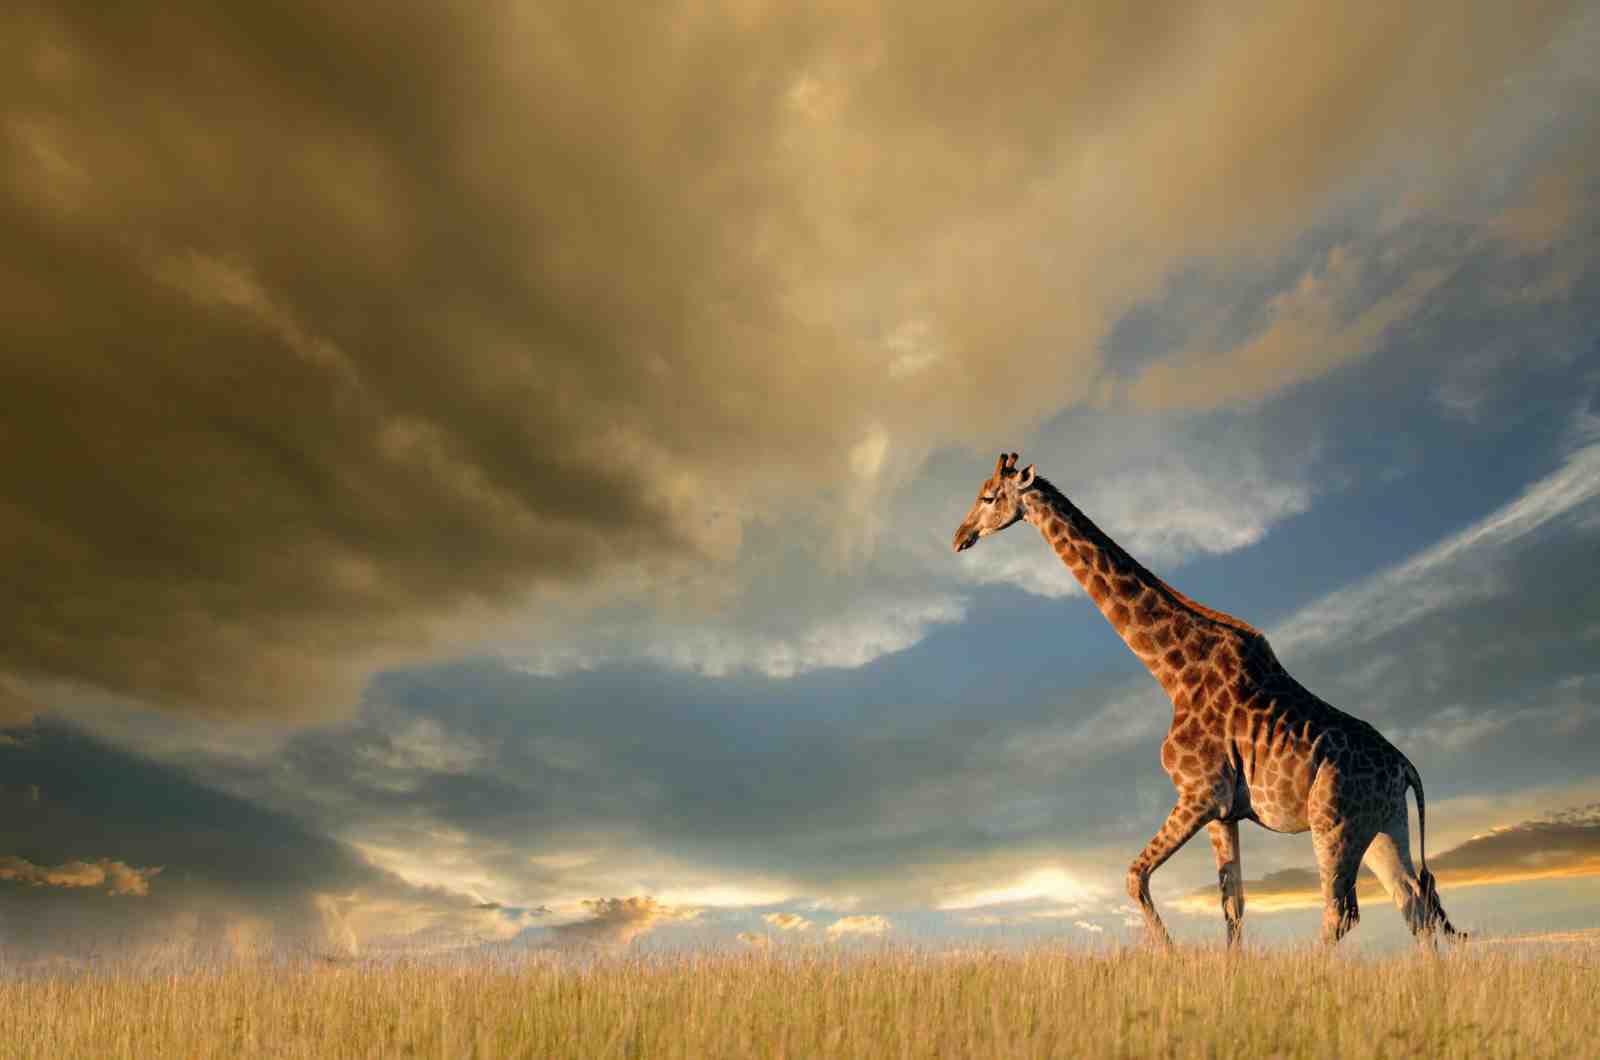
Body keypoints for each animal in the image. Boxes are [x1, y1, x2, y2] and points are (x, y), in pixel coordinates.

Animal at [952, 453, 1463, 948]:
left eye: (989, 496)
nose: (960, 537)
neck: (1172, 674)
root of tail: (1405, 767)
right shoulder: (1224, 811)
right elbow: (1232, 905)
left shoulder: (1199, 792)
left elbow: (1135, 876)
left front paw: (1172, 955)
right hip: (1383, 825)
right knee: (1414, 904)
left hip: (1334, 822)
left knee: (1344, 912)